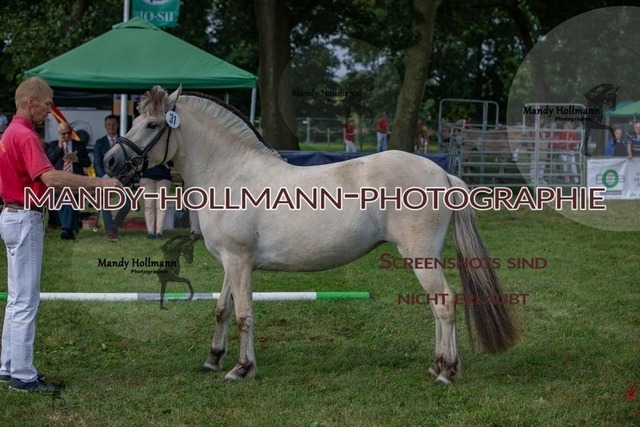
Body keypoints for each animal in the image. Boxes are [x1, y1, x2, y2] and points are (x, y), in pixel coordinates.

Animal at [104, 86, 517, 384]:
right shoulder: (231, 262)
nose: (110, 161)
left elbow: (245, 315)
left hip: (420, 255)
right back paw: (436, 365)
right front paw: (213, 360)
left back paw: (446, 372)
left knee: (444, 303)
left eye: (152, 125)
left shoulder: (239, 261)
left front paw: (241, 369)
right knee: (435, 306)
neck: (231, 172)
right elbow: (222, 309)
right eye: (137, 119)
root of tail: (442, 173)